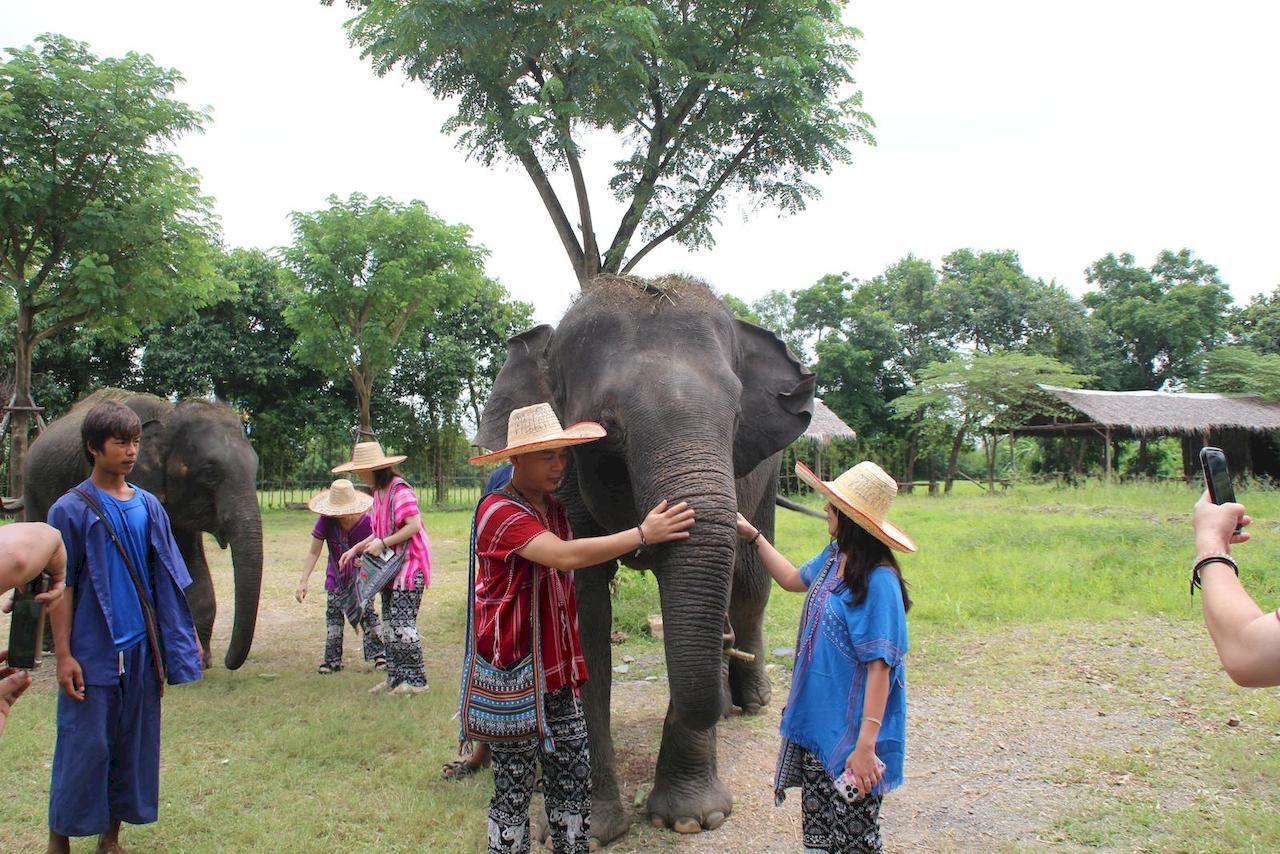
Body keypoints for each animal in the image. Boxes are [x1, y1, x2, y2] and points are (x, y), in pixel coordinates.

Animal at [22, 391, 262, 670]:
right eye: (209, 472)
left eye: (255, 467)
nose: (227, 662)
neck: (168, 417)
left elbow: (193, 565)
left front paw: (200, 662)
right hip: (33, 492)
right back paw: (50, 648)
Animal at [476, 277, 814, 845]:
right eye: (607, 428)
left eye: (737, 419)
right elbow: (582, 612)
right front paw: (587, 829)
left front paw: (693, 819)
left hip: (769, 476)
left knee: (749, 588)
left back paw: (747, 701)